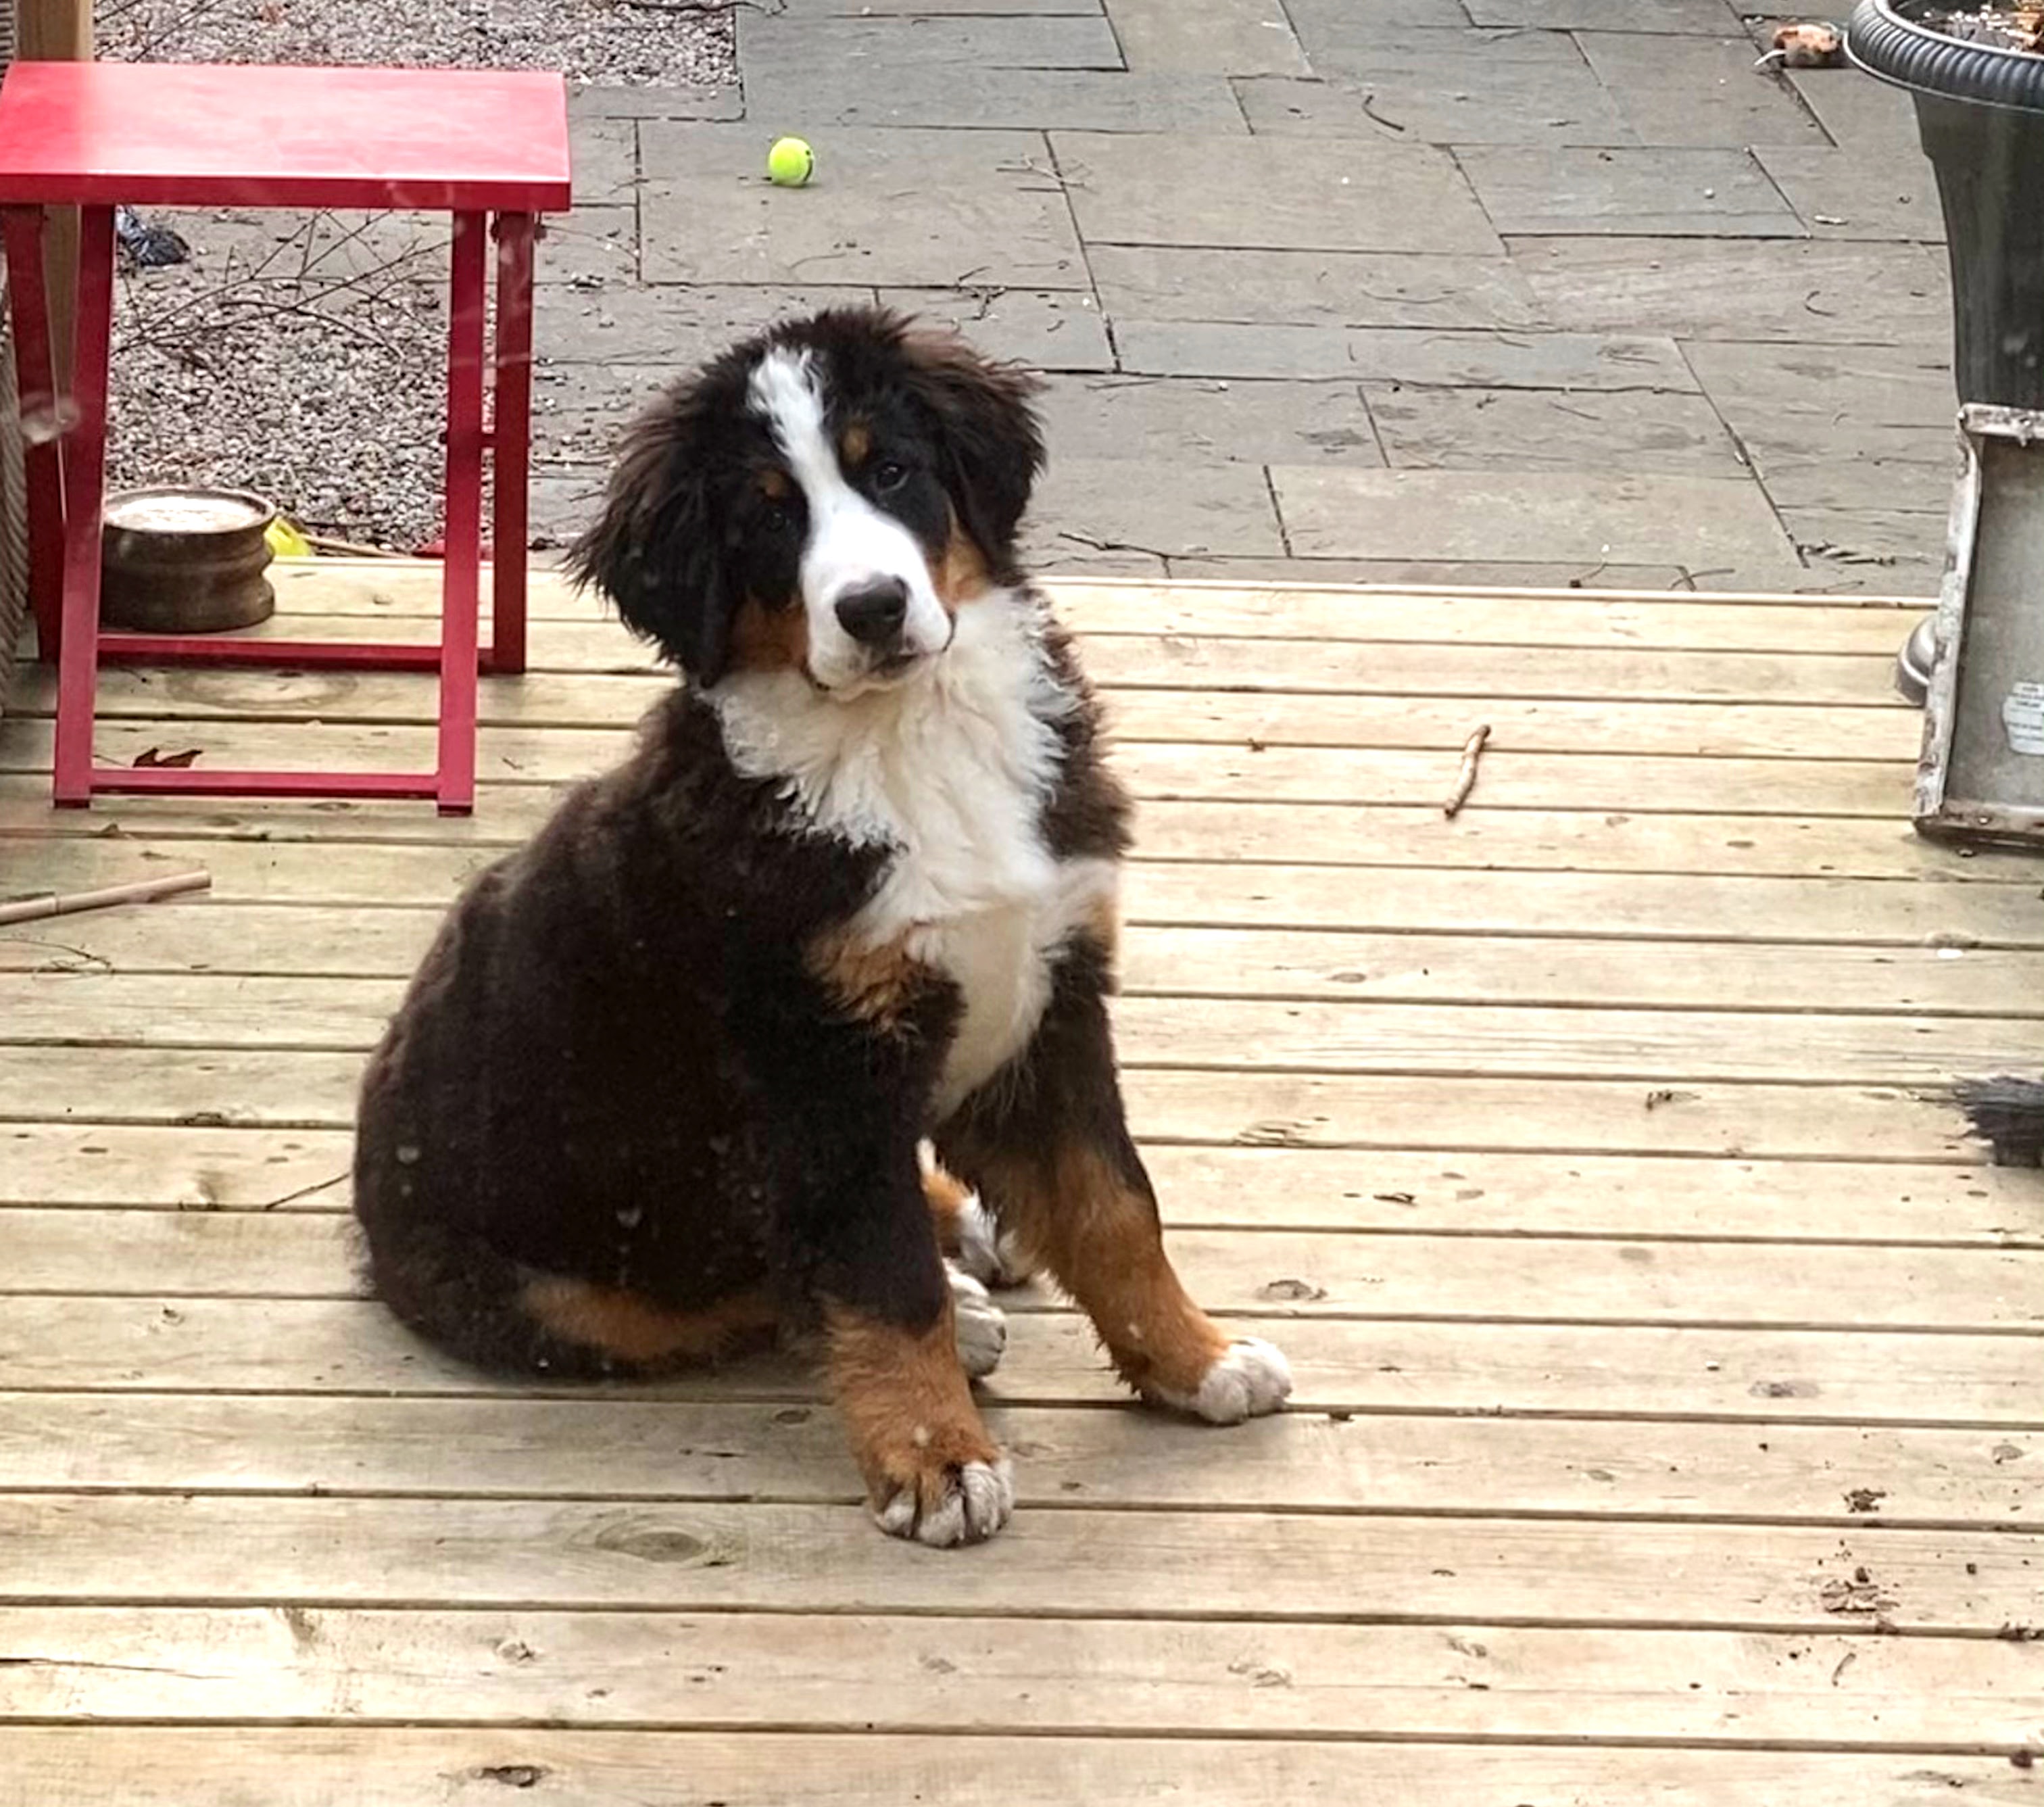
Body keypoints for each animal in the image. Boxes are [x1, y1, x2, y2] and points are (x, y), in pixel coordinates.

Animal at [347, 302, 1275, 1545]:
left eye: (889, 470)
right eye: (767, 518)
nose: (872, 608)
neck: (907, 736)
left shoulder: (1051, 999)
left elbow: (1115, 1204)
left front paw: (1196, 1360)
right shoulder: (823, 1066)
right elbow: (879, 1282)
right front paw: (936, 1459)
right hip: (556, 1285)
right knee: (732, 1291)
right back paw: (961, 1308)